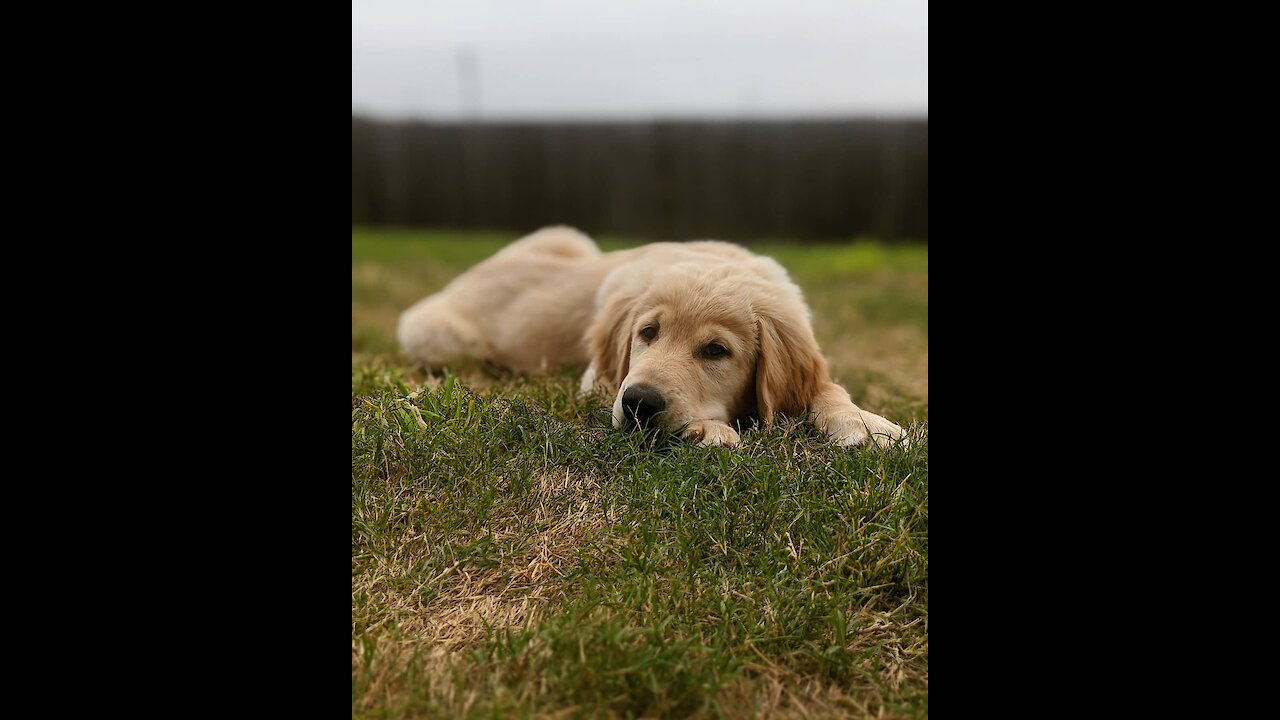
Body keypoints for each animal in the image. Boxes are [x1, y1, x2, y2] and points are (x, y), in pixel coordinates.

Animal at [399, 226, 911, 445]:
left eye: (716, 350)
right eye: (648, 332)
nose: (639, 404)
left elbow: (828, 388)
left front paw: (866, 423)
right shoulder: (601, 381)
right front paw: (708, 429)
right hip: (435, 334)